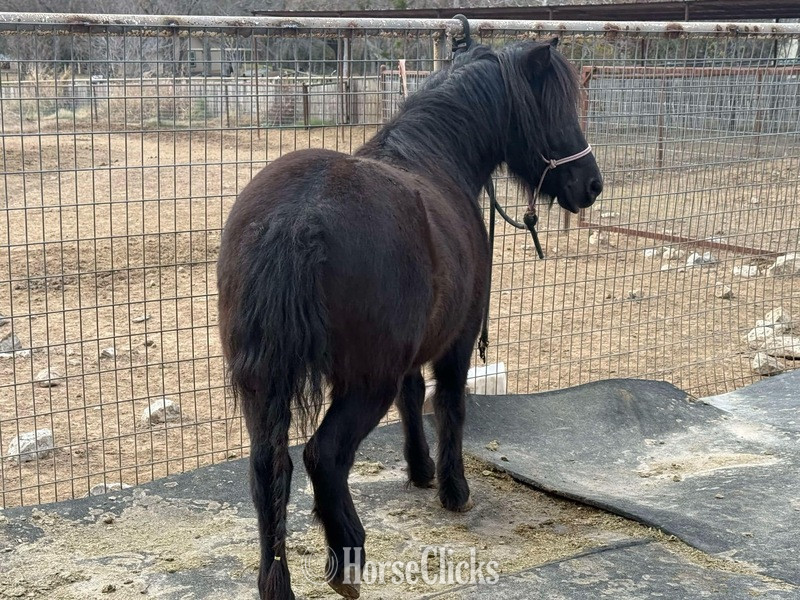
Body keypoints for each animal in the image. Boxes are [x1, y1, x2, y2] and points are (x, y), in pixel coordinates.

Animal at [216, 37, 602, 600]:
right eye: (554, 110)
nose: (591, 184)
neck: (438, 157)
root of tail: (295, 218)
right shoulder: (457, 341)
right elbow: (448, 405)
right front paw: (453, 488)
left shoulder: (409, 356)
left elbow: (412, 398)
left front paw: (420, 470)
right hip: (362, 383)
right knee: (323, 456)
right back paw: (348, 556)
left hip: (260, 385)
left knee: (269, 468)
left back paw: (279, 583)